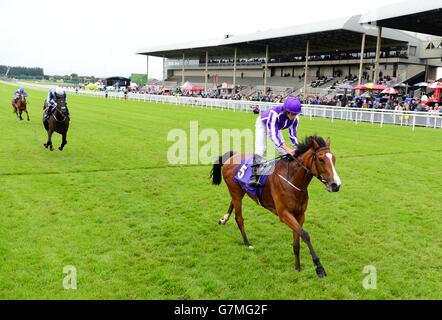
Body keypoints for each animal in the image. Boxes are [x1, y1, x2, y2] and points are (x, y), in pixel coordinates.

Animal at [211, 135, 342, 278]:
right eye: (321, 159)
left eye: (334, 158)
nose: (336, 185)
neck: (292, 180)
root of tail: (233, 155)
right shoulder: (284, 214)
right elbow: (305, 235)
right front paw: (319, 268)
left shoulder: (300, 215)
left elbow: (297, 241)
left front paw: (298, 267)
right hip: (235, 191)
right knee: (239, 218)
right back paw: (247, 243)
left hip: (239, 191)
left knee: (232, 204)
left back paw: (223, 219)